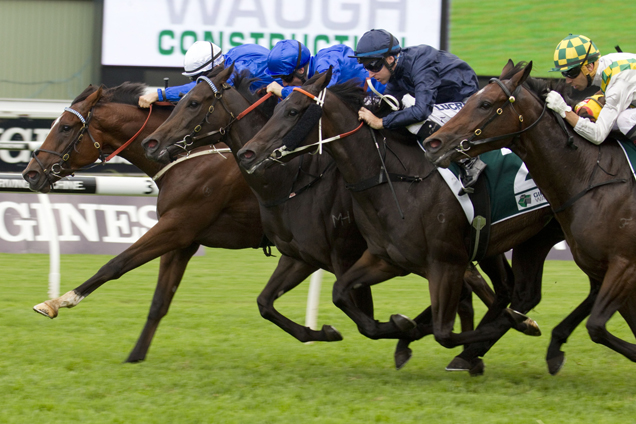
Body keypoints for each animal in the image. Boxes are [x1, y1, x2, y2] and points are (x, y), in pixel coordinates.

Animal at [19, 83, 264, 362]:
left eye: (66, 127)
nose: (30, 173)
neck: (192, 154)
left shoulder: (177, 226)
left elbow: (115, 265)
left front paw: (56, 302)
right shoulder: (183, 241)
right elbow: (159, 301)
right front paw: (135, 355)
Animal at [142, 64, 548, 372]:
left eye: (193, 103)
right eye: (181, 100)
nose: (152, 142)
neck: (293, 179)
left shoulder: (348, 254)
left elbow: (360, 310)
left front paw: (398, 330)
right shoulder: (302, 256)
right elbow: (268, 303)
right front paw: (326, 332)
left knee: (493, 290)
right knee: (497, 289)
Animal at [422, 60, 636, 374]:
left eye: (485, 104)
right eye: (471, 98)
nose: (433, 142)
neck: (592, 175)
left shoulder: (625, 265)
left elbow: (597, 327)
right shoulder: (605, 266)